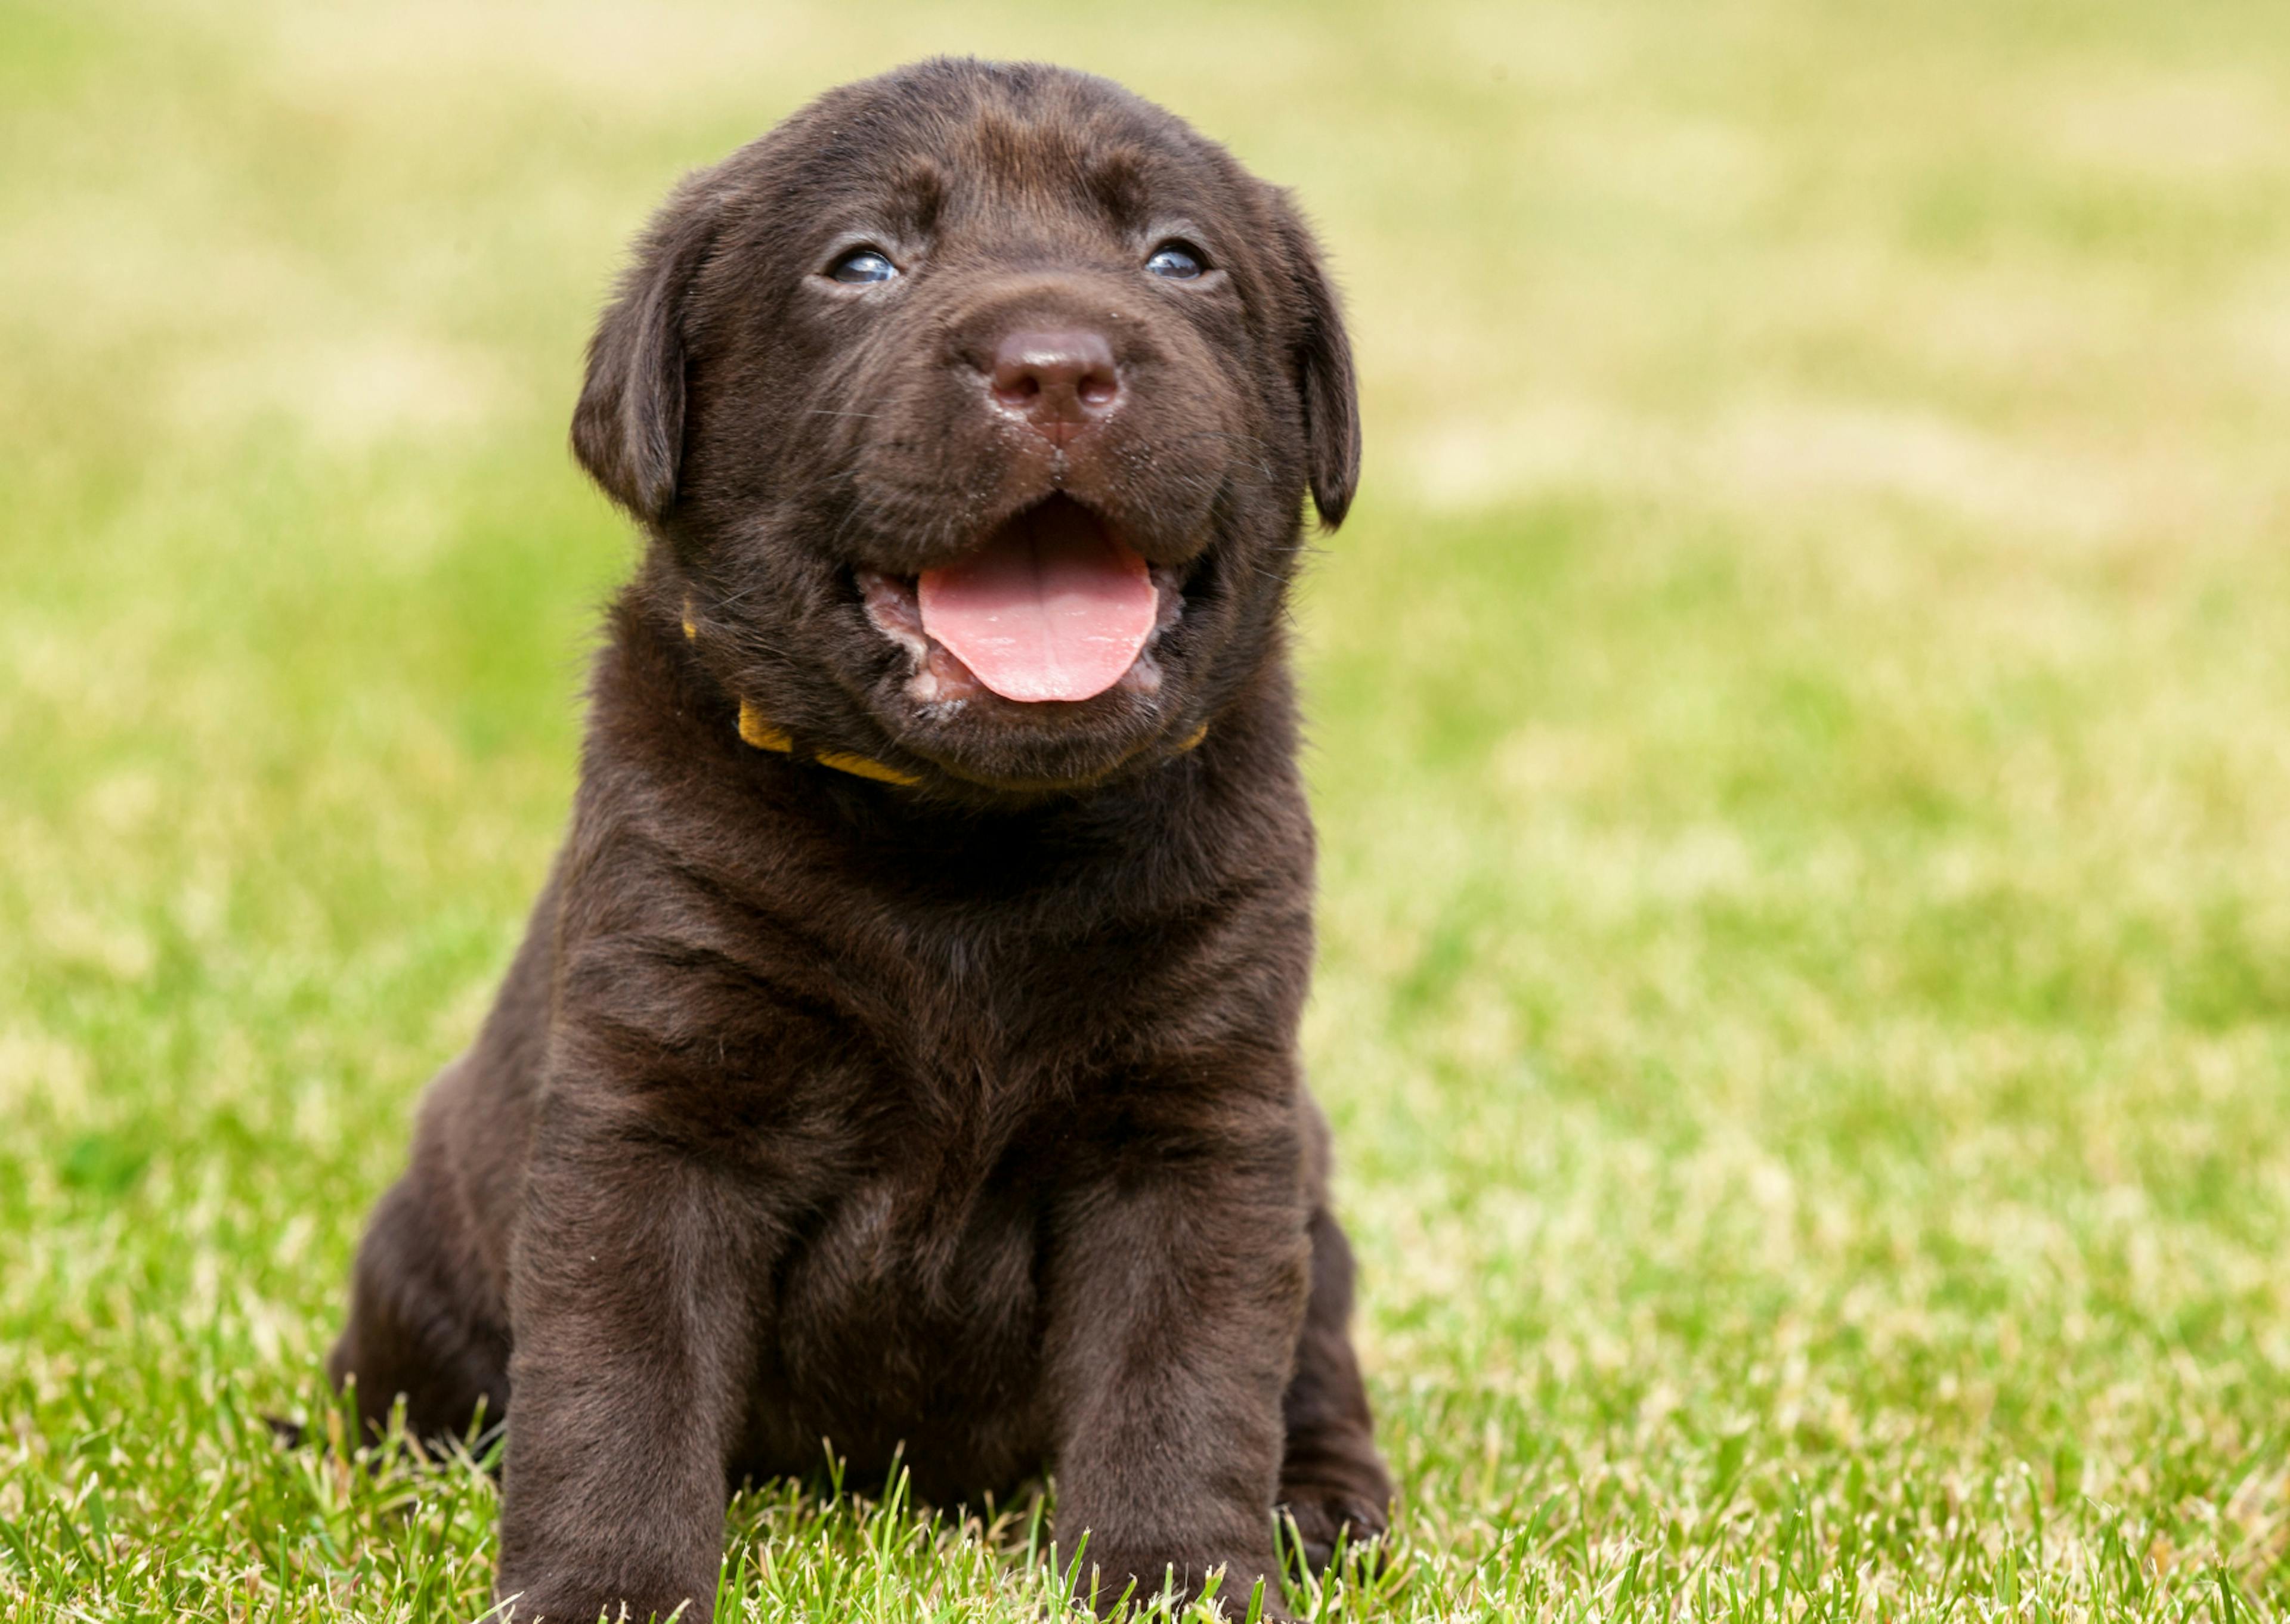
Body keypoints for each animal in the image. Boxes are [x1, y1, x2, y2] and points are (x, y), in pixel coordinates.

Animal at [329, 57, 1383, 1612]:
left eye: (1178, 261)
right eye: (865, 265)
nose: (1057, 367)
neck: (967, 850)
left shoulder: (1196, 1127)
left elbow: (1185, 1386)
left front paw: (1175, 1579)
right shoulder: (659, 1102)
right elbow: (618, 1385)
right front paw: (604, 1588)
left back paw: (1318, 1508)